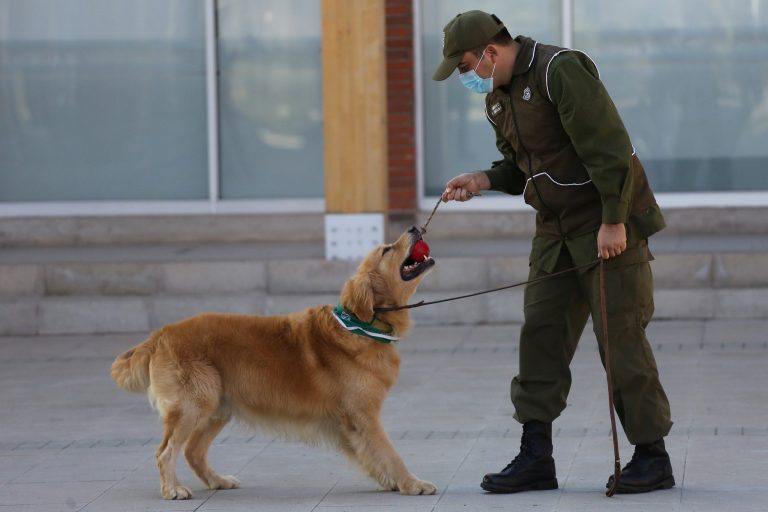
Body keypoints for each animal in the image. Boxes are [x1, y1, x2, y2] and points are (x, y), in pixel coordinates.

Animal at [112, 227, 438, 500]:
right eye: (386, 250)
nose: (414, 228)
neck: (362, 324)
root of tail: (160, 334)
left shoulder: (356, 422)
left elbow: (374, 455)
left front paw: (391, 481)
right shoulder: (363, 415)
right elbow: (390, 452)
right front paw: (411, 483)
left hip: (216, 407)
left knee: (193, 451)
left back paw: (217, 480)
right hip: (193, 405)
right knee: (166, 452)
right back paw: (173, 489)